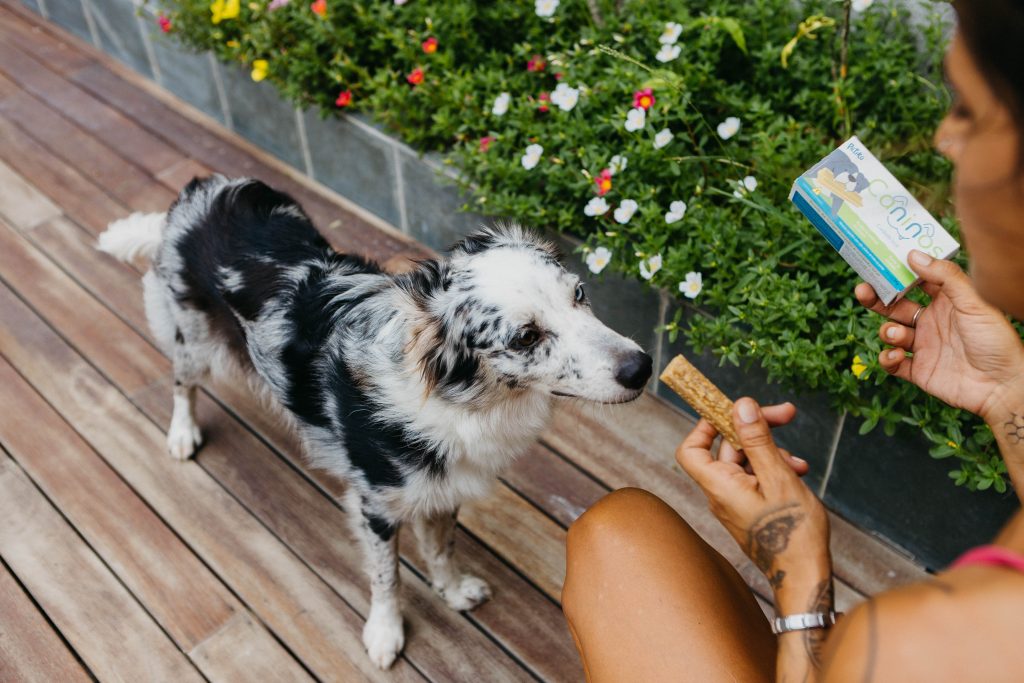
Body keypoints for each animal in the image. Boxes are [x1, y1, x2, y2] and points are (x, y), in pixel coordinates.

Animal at [97, 175, 655, 667]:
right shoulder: (376, 506)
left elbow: (441, 551)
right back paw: (181, 433)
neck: (462, 402)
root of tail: (200, 192)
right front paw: (385, 633)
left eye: (579, 293)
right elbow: (388, 578)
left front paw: (452, 590)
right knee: (181, 382)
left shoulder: (442, 488)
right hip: (194, 339)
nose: (641, 367)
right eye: (525, 337)